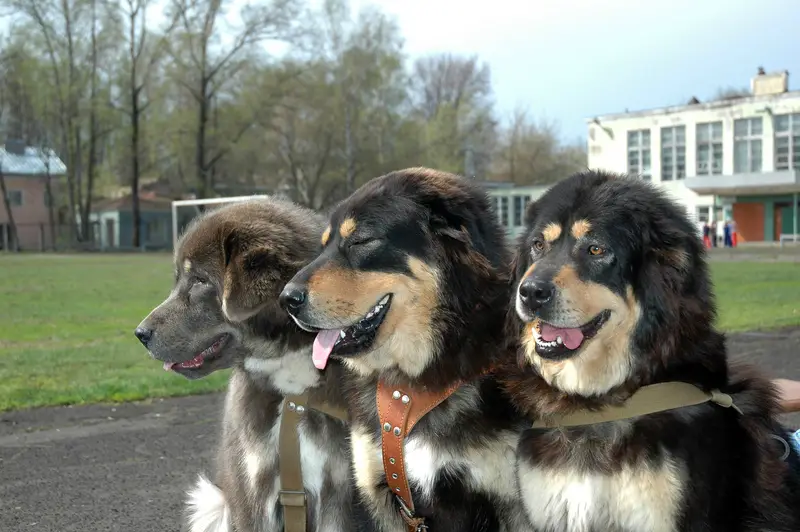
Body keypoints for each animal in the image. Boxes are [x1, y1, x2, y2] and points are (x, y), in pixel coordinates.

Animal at [280, 169, 532, 532]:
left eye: (361, 241)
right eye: (323, 245)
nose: (286, 299)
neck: (413, 386)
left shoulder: (512, 502)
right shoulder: (381, 493)